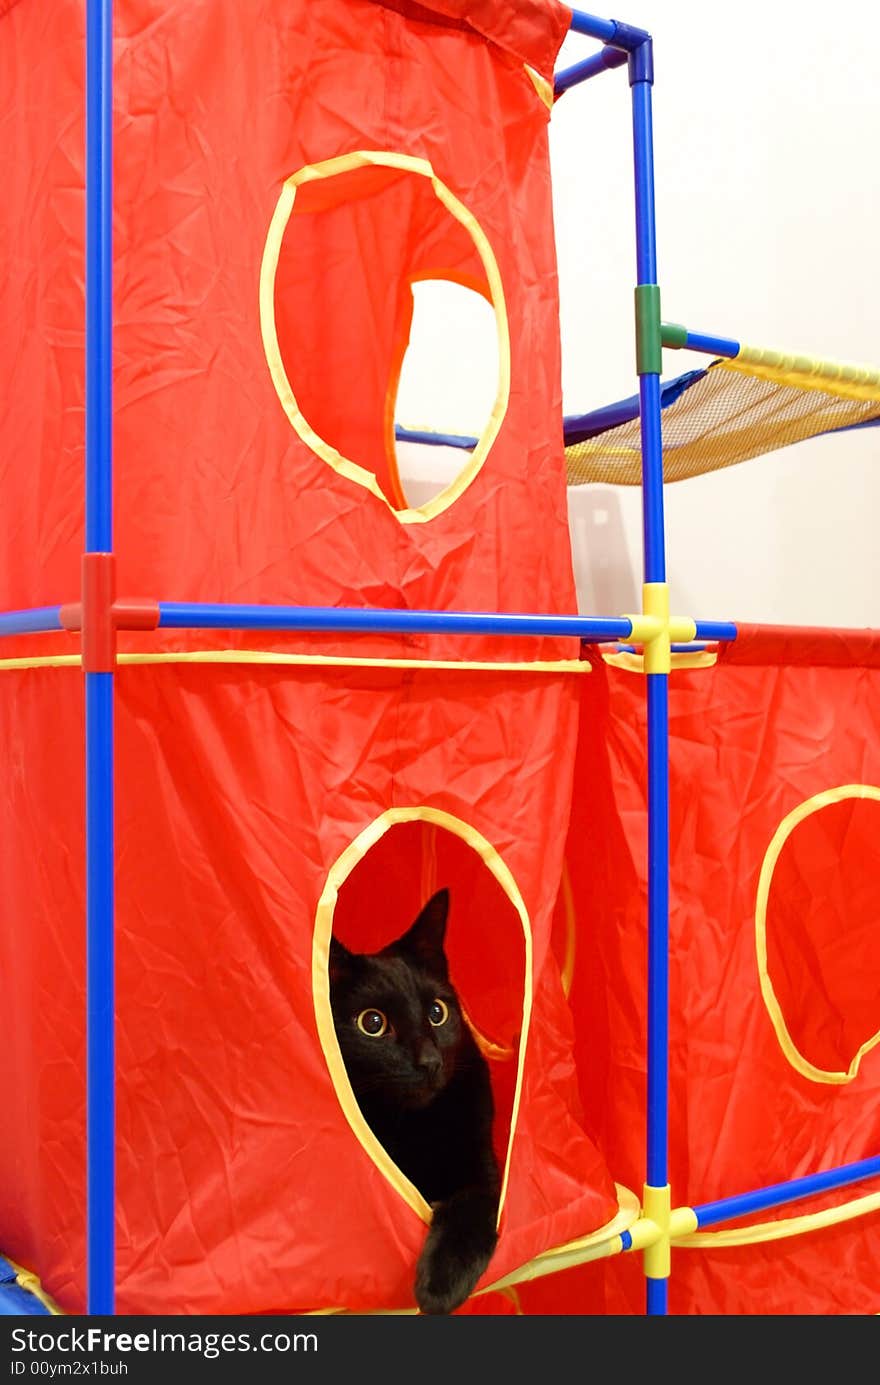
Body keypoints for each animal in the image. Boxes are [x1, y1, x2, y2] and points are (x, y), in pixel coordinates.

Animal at [328, 886, 498, 1307]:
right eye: (372, 1023)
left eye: (437, 1012)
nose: (430, 1061)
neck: (415, 1125)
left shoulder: (482, 1168)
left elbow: (471, 1209)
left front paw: (440, 1286)